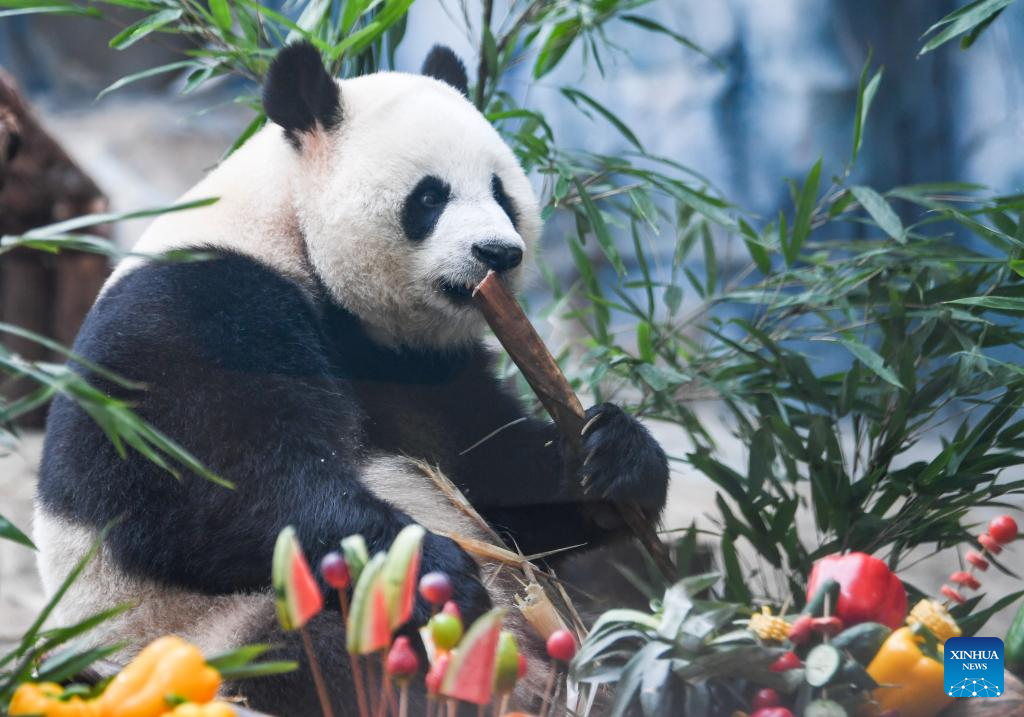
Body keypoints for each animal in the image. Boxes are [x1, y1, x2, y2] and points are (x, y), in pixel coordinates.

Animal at [34, 41, 671, 712]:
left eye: (503, 194)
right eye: (430, 197)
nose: (499, 254)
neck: (289, 230)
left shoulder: (420, 367)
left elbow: (490, 476)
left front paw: (614, 459)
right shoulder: (195, 302)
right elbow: (211, 483)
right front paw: (429, 572)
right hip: (199, 634)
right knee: (314, 650)